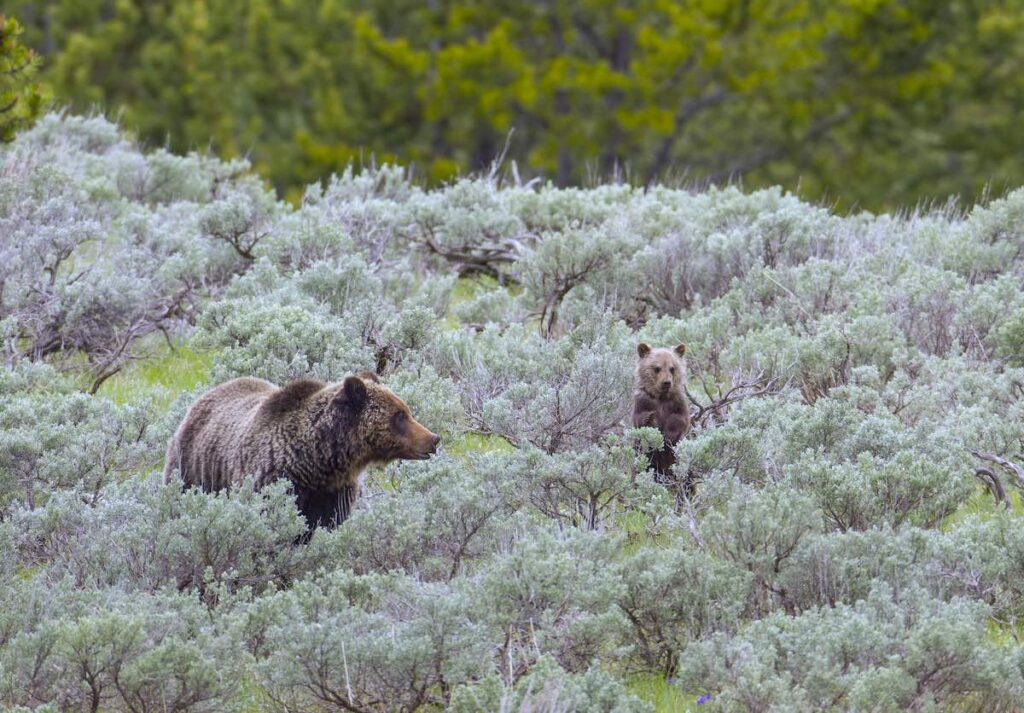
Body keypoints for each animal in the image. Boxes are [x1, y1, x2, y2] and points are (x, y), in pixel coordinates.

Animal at [163, 372, 440, 528]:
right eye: (400, 416)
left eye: (406, 411)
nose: (434, 439)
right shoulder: (274, 480)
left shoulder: (334, 492)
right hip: (191, 470)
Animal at [626, 344, 692, 485]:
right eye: (657, 368)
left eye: (672, 368)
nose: (666, 382)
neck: (661, 397)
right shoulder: (643, 400)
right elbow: (639, 418)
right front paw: (651, 419)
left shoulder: (677, 402)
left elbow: (680, 419)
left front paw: (668, 435)